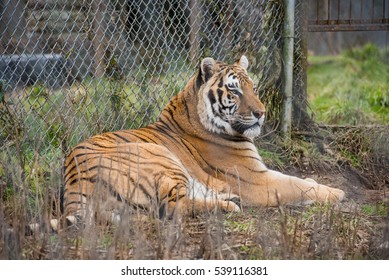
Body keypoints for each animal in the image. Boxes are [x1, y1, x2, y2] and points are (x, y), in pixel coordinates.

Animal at [62, 55, 344, 223]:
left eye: (253, 88)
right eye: (234, 90)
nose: (261, 113)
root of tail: (73, 183)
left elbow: (298, 179)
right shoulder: (256, 180)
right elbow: (296, 185)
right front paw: (336, 192)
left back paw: (228, 200)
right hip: (160, 157)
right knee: (172, 207)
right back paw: (230, 206)